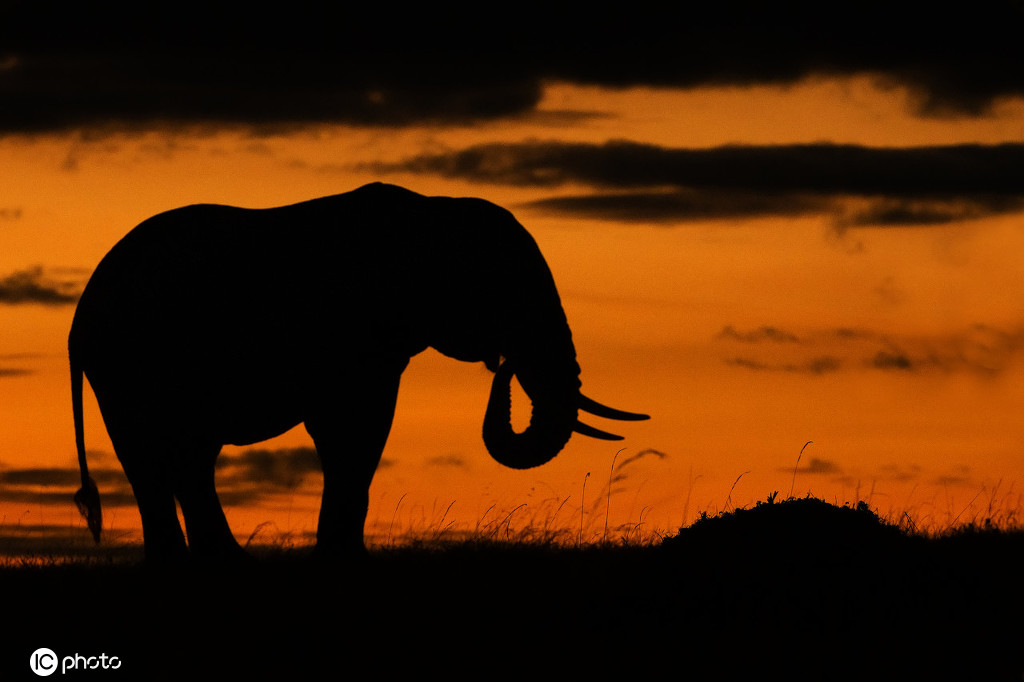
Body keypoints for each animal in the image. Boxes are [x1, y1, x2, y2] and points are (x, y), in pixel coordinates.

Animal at [70, 180, 647, 557]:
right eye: (503, 292)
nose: (502, 365)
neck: (430, 213)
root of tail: (80, 316)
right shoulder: (348, 337)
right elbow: (352, 431)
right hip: (126, 363)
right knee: (157, 456)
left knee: (181, 459)